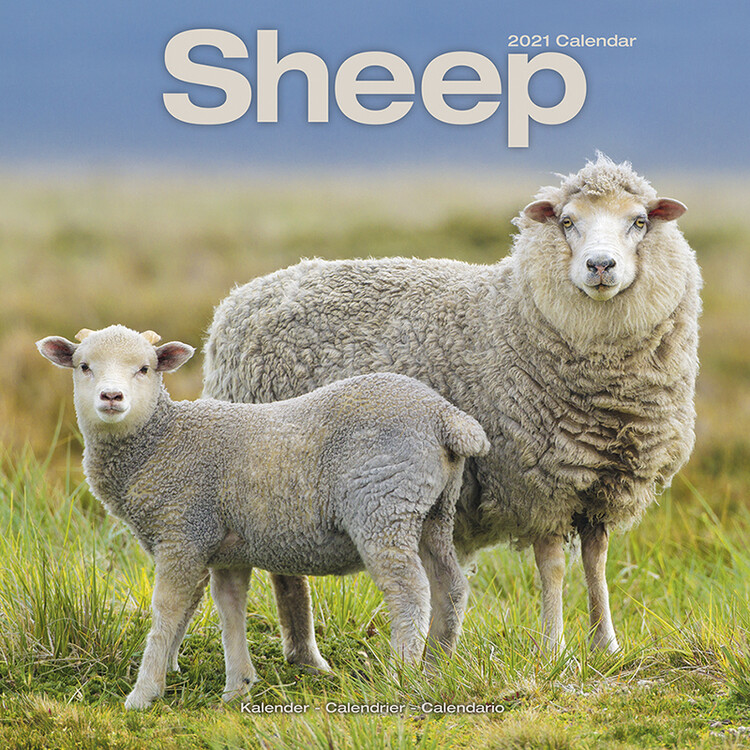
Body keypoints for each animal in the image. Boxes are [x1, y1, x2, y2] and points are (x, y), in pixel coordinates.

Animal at [36, 324, 490, 710]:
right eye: (83, 366)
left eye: (145, 368)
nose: (111, 397)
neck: (160, 441)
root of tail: (446, 417)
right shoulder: (223, 546)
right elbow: (226, 607)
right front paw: (236, 684)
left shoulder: (182, 532)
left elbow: (167, 608)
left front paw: (145, 691)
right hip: (433, 511)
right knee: (450, 587)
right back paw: (435, 668)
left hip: (383, 503)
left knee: (409, 592)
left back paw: (400, 675)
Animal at [203, 154, 701, 658]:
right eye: (567, 222)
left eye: (639, 222)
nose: (600, 265)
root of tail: (239, 301)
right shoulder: (536, 479)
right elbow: (554, 567)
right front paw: (554, 649)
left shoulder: (602, 482)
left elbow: (597, 563)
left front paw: (607, 646)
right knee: (287, 575)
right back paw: (306, 655)